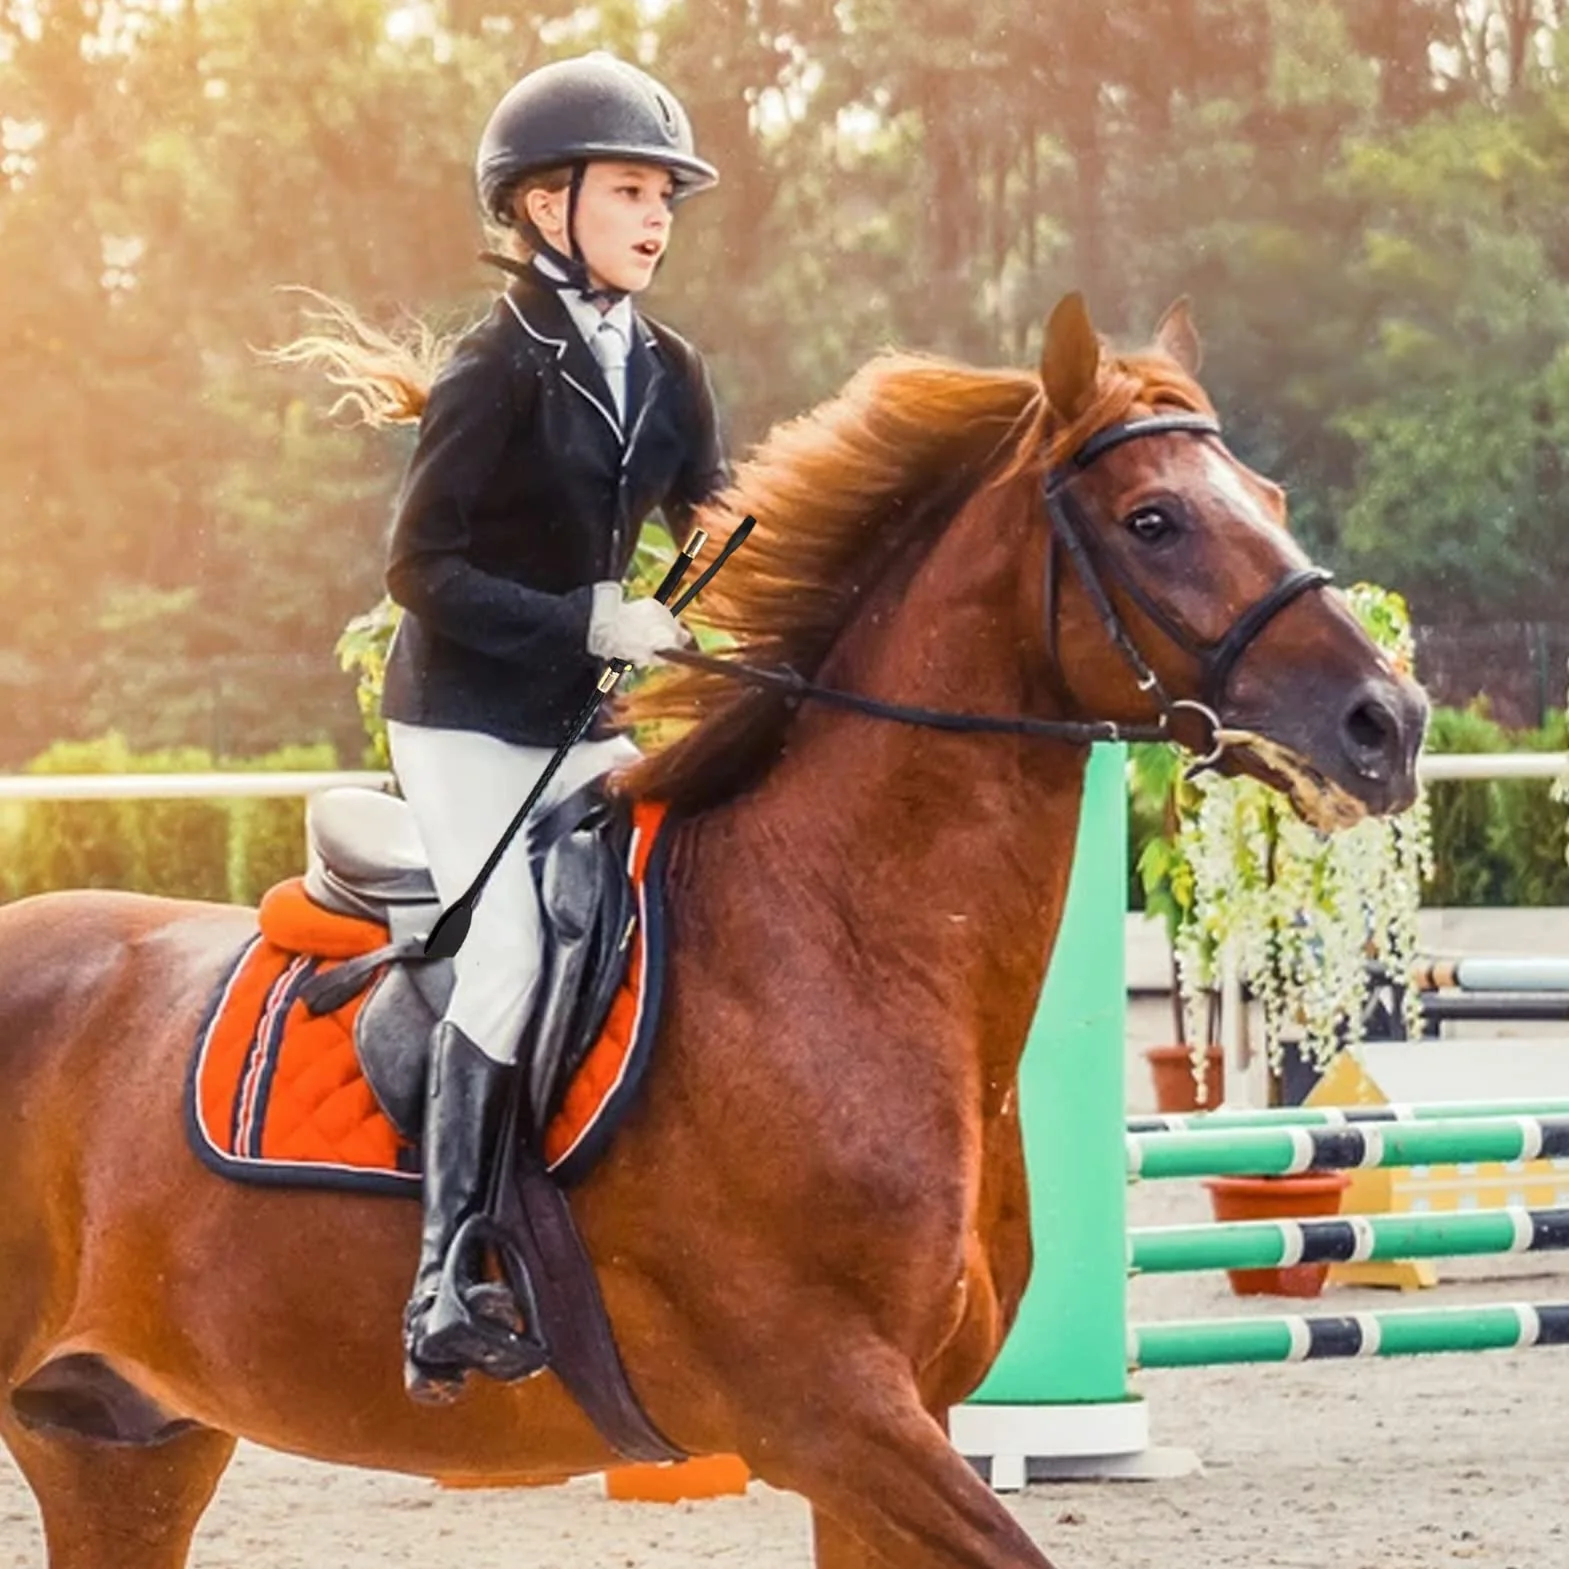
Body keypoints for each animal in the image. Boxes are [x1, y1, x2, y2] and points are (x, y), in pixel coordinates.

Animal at [0, 292, 1426, 1569]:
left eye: (1270, 501)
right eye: (1154, 519)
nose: (1388, 724)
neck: (843, 943)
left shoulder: (895, 1436)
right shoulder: (838, 1419)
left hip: (123, 1441)